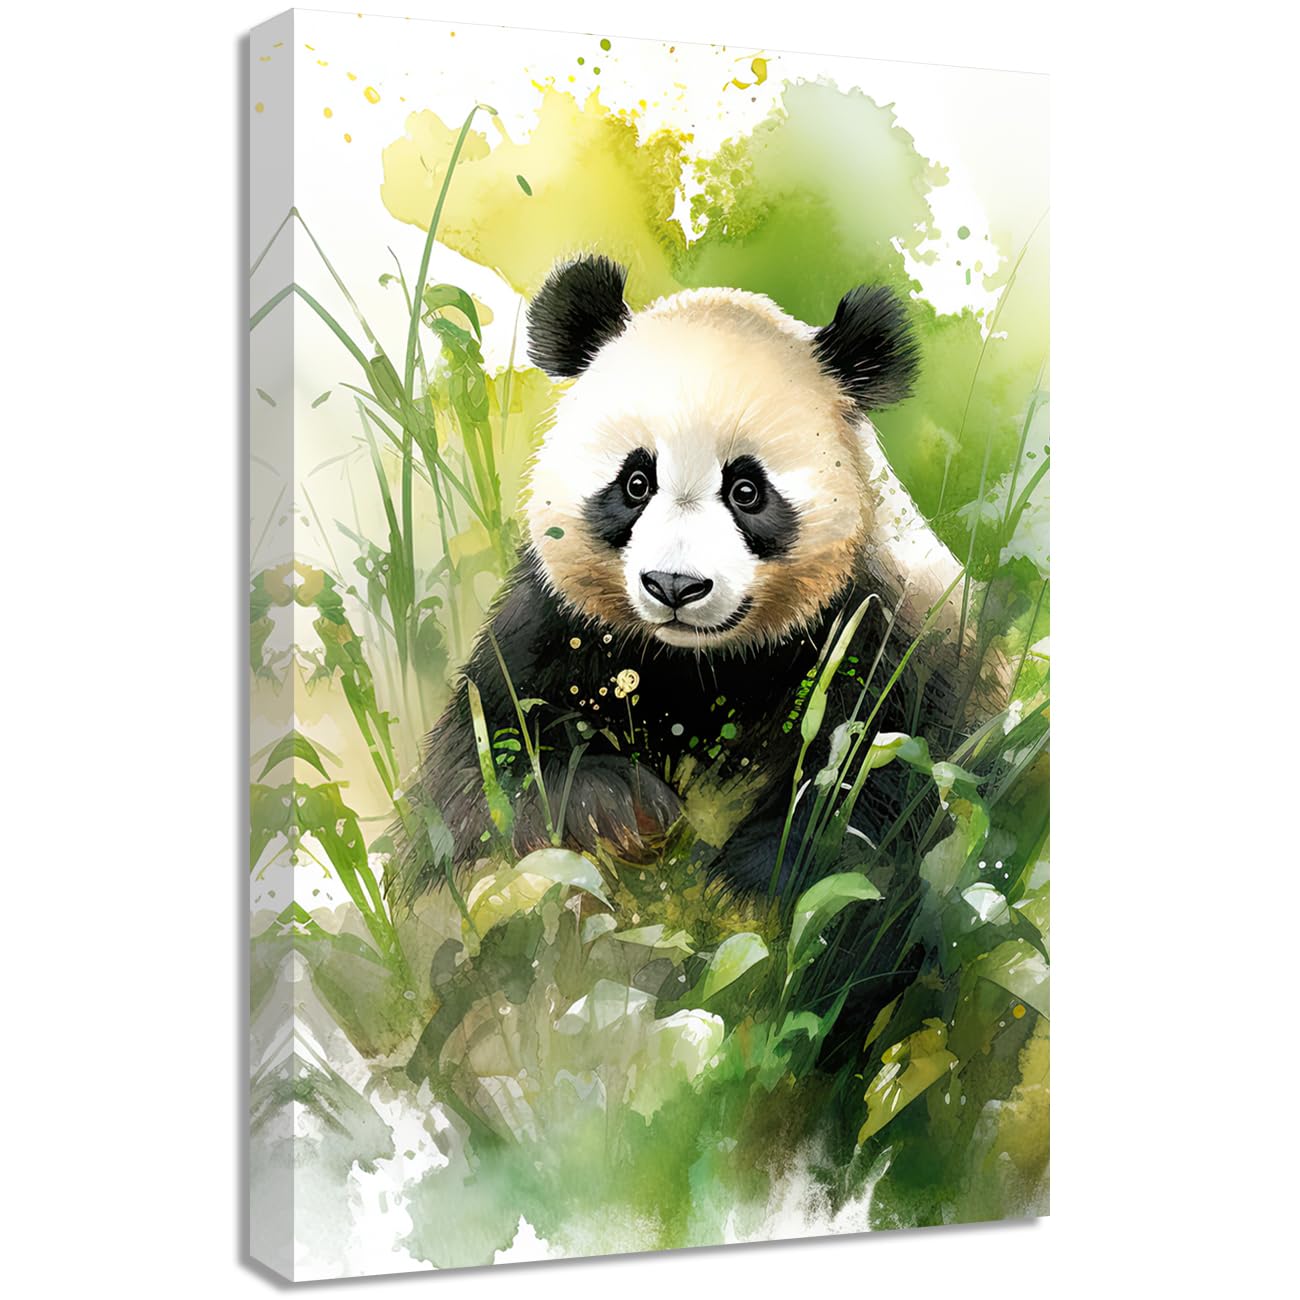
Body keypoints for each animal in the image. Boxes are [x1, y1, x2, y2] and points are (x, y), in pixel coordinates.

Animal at [394, 254, 1005, 901]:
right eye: (637, 482)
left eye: (746, 490)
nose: (674, 586)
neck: (699, 662)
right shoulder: (555, 621)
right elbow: (482, 762)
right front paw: (619, 808)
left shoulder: (890, 628)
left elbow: (889, 771)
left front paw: (763, 870)